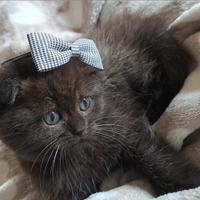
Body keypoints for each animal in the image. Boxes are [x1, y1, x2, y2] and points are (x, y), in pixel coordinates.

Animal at [0, 12, 200, 200]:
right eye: (52, 117)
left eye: (84, 104)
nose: (79, 129)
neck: (84, 153)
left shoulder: (125, 125)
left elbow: (157, 158)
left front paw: (188, 184)